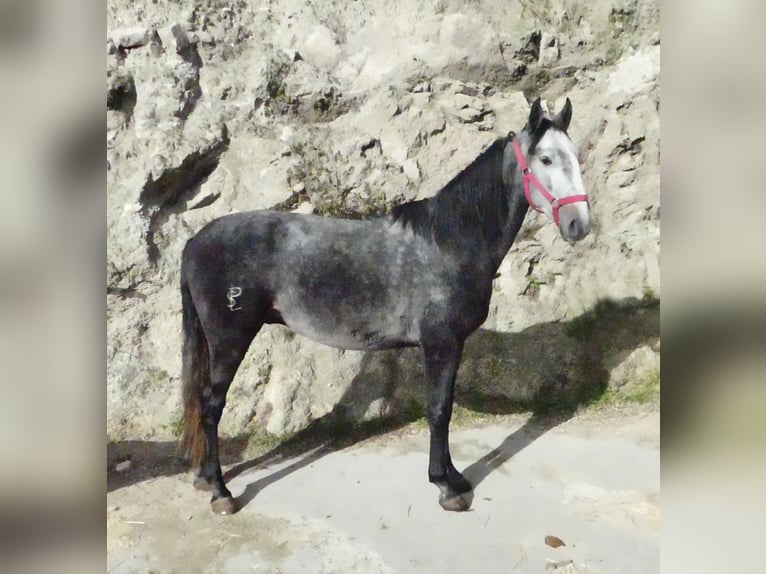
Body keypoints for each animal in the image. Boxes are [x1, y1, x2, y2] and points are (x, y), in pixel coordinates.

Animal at [182, 98, 592, 516]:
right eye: (544, 159)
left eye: (575, 156)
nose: (579, 224)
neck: (449, 243)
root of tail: (196, 241)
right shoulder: (440, 343)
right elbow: (439, 410)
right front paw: (447, 486)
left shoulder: (452, 344)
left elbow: (444, 406)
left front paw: (454, 477)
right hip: (230, 341)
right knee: (211, 407)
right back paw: (221, 492)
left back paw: (205, 479)